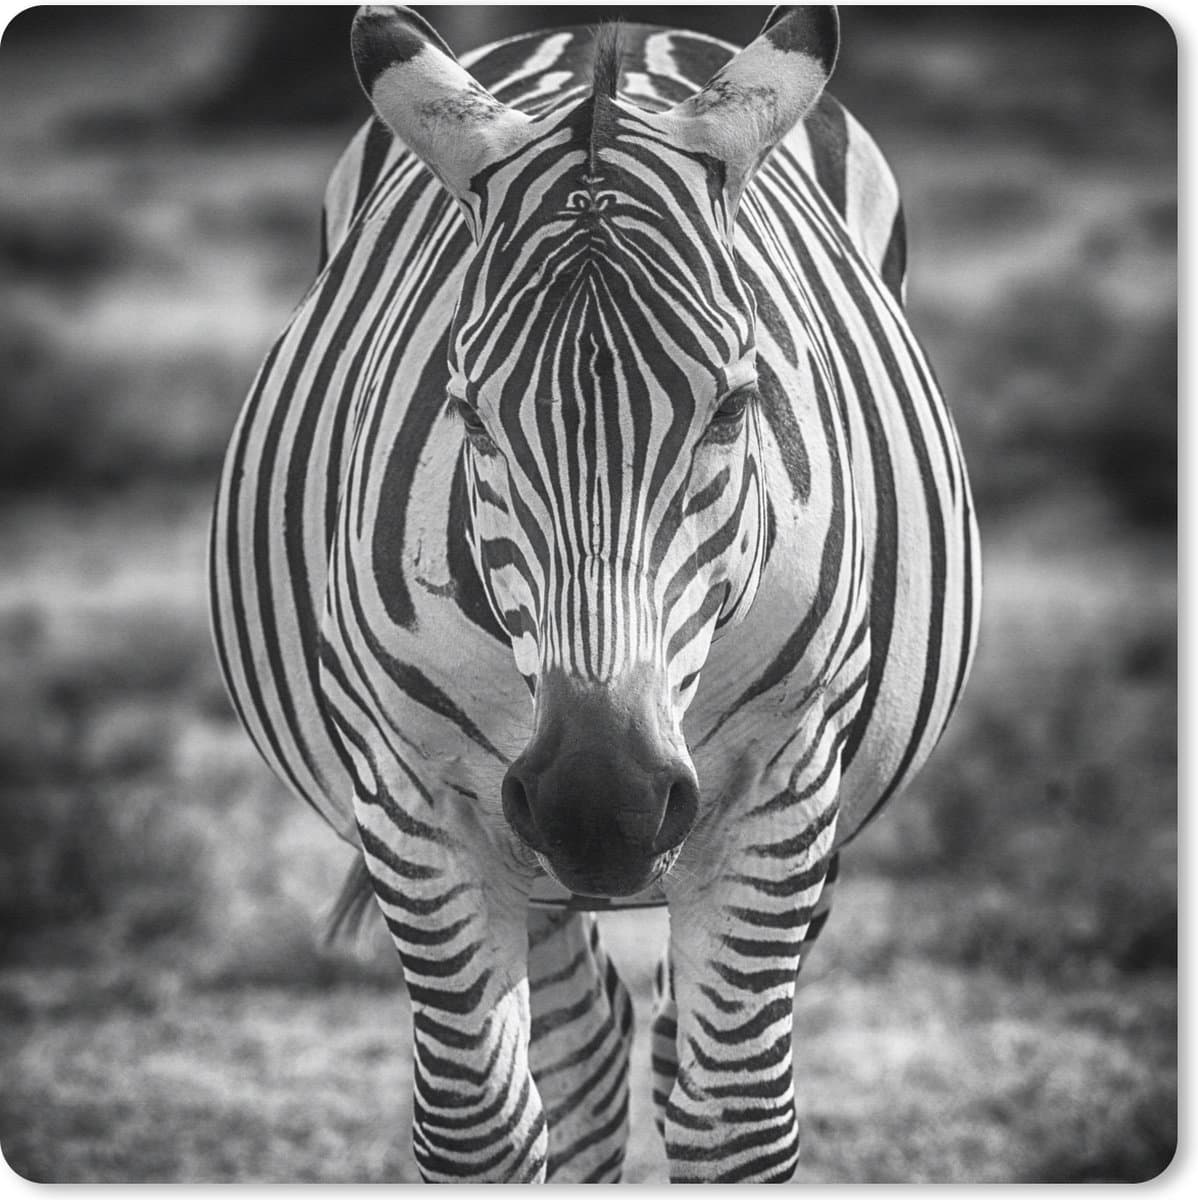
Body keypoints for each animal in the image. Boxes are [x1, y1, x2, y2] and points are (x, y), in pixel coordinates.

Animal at [210, 4, 979, 1183]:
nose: (601, 804)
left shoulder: (786, 780)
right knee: (584, 1061)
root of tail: (606, 32)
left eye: (736, 405)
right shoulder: (412, 793)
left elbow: (737, 1123)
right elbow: (481, 1128)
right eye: (468, 413)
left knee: (667, 1051)